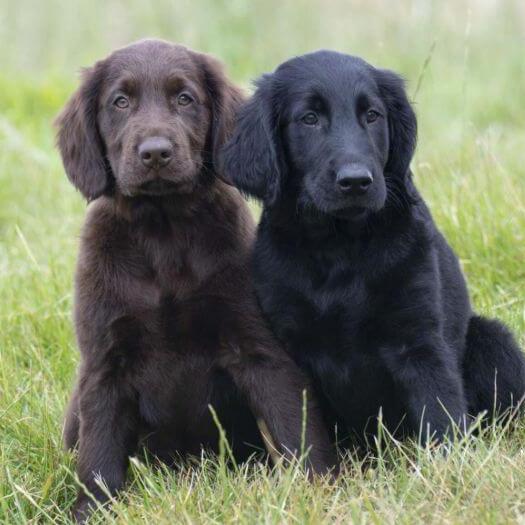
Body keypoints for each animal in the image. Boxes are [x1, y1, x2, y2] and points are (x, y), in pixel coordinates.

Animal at [57, 40, 336, 520]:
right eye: (120, 102)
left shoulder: (258, 348)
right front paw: (91, 513)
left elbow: (293, 425)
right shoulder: (105, 364)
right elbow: (98, 456)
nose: (154, 152)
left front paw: (317, 493)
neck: (162, 232)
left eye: (185, 99)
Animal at [221, 49, 524, 444]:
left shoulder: (419, 340)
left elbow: (439, 415)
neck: (340, 247)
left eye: (372, 115)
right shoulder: (289, 346)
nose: (356, 181)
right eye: (309, 118)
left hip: (492, 340)